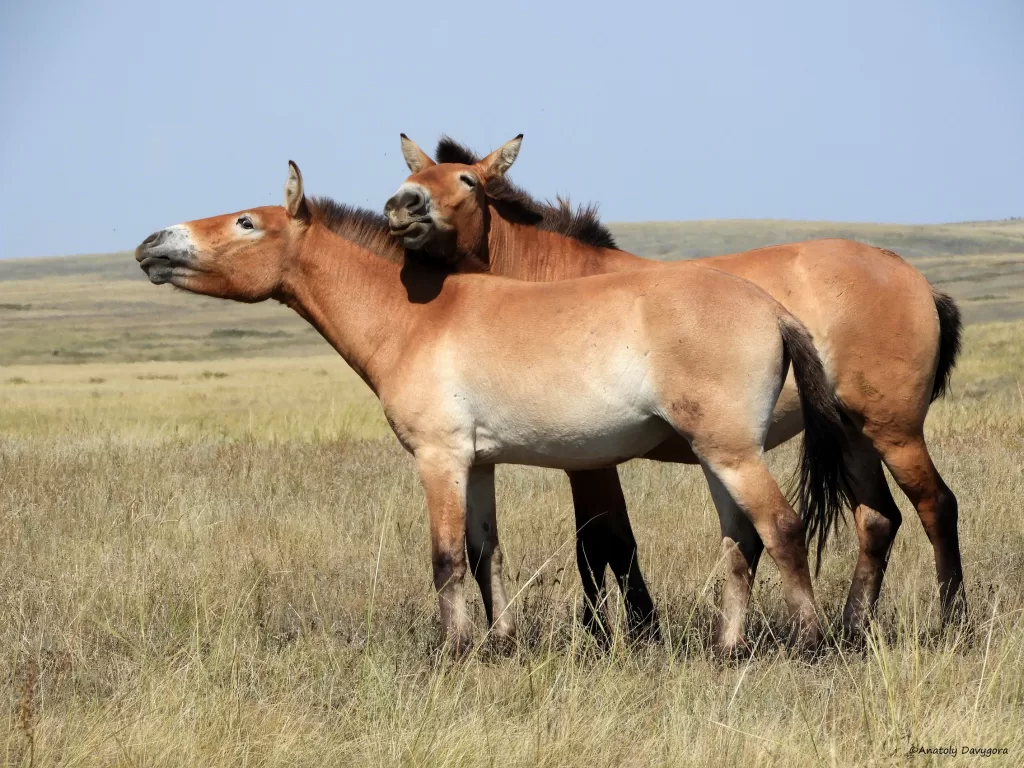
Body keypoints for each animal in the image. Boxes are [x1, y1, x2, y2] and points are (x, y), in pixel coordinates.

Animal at [137, 161, 849, 656]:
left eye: (246, 222)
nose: (150, 243)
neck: (413, 318)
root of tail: (772, 309)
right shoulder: (477, 464)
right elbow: (486, 553)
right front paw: (500, 641)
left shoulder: (440, 459)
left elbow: (446, 557)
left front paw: (455, 650)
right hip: (717, 456)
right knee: (741, 541)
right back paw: (728, 649)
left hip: (731, 454)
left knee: (782, 529)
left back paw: (811, 644)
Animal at [385, 134, 964, 648]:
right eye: (414, 175)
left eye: (466, 180)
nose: (403, 206)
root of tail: (911, 276)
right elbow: (605, 543)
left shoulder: (588, 462)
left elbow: (603, 543)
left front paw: (621, 634)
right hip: (854, 435)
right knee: (878, 519)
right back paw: (852, 627)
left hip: (894, 432)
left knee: (937, 506)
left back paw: (950, 622)